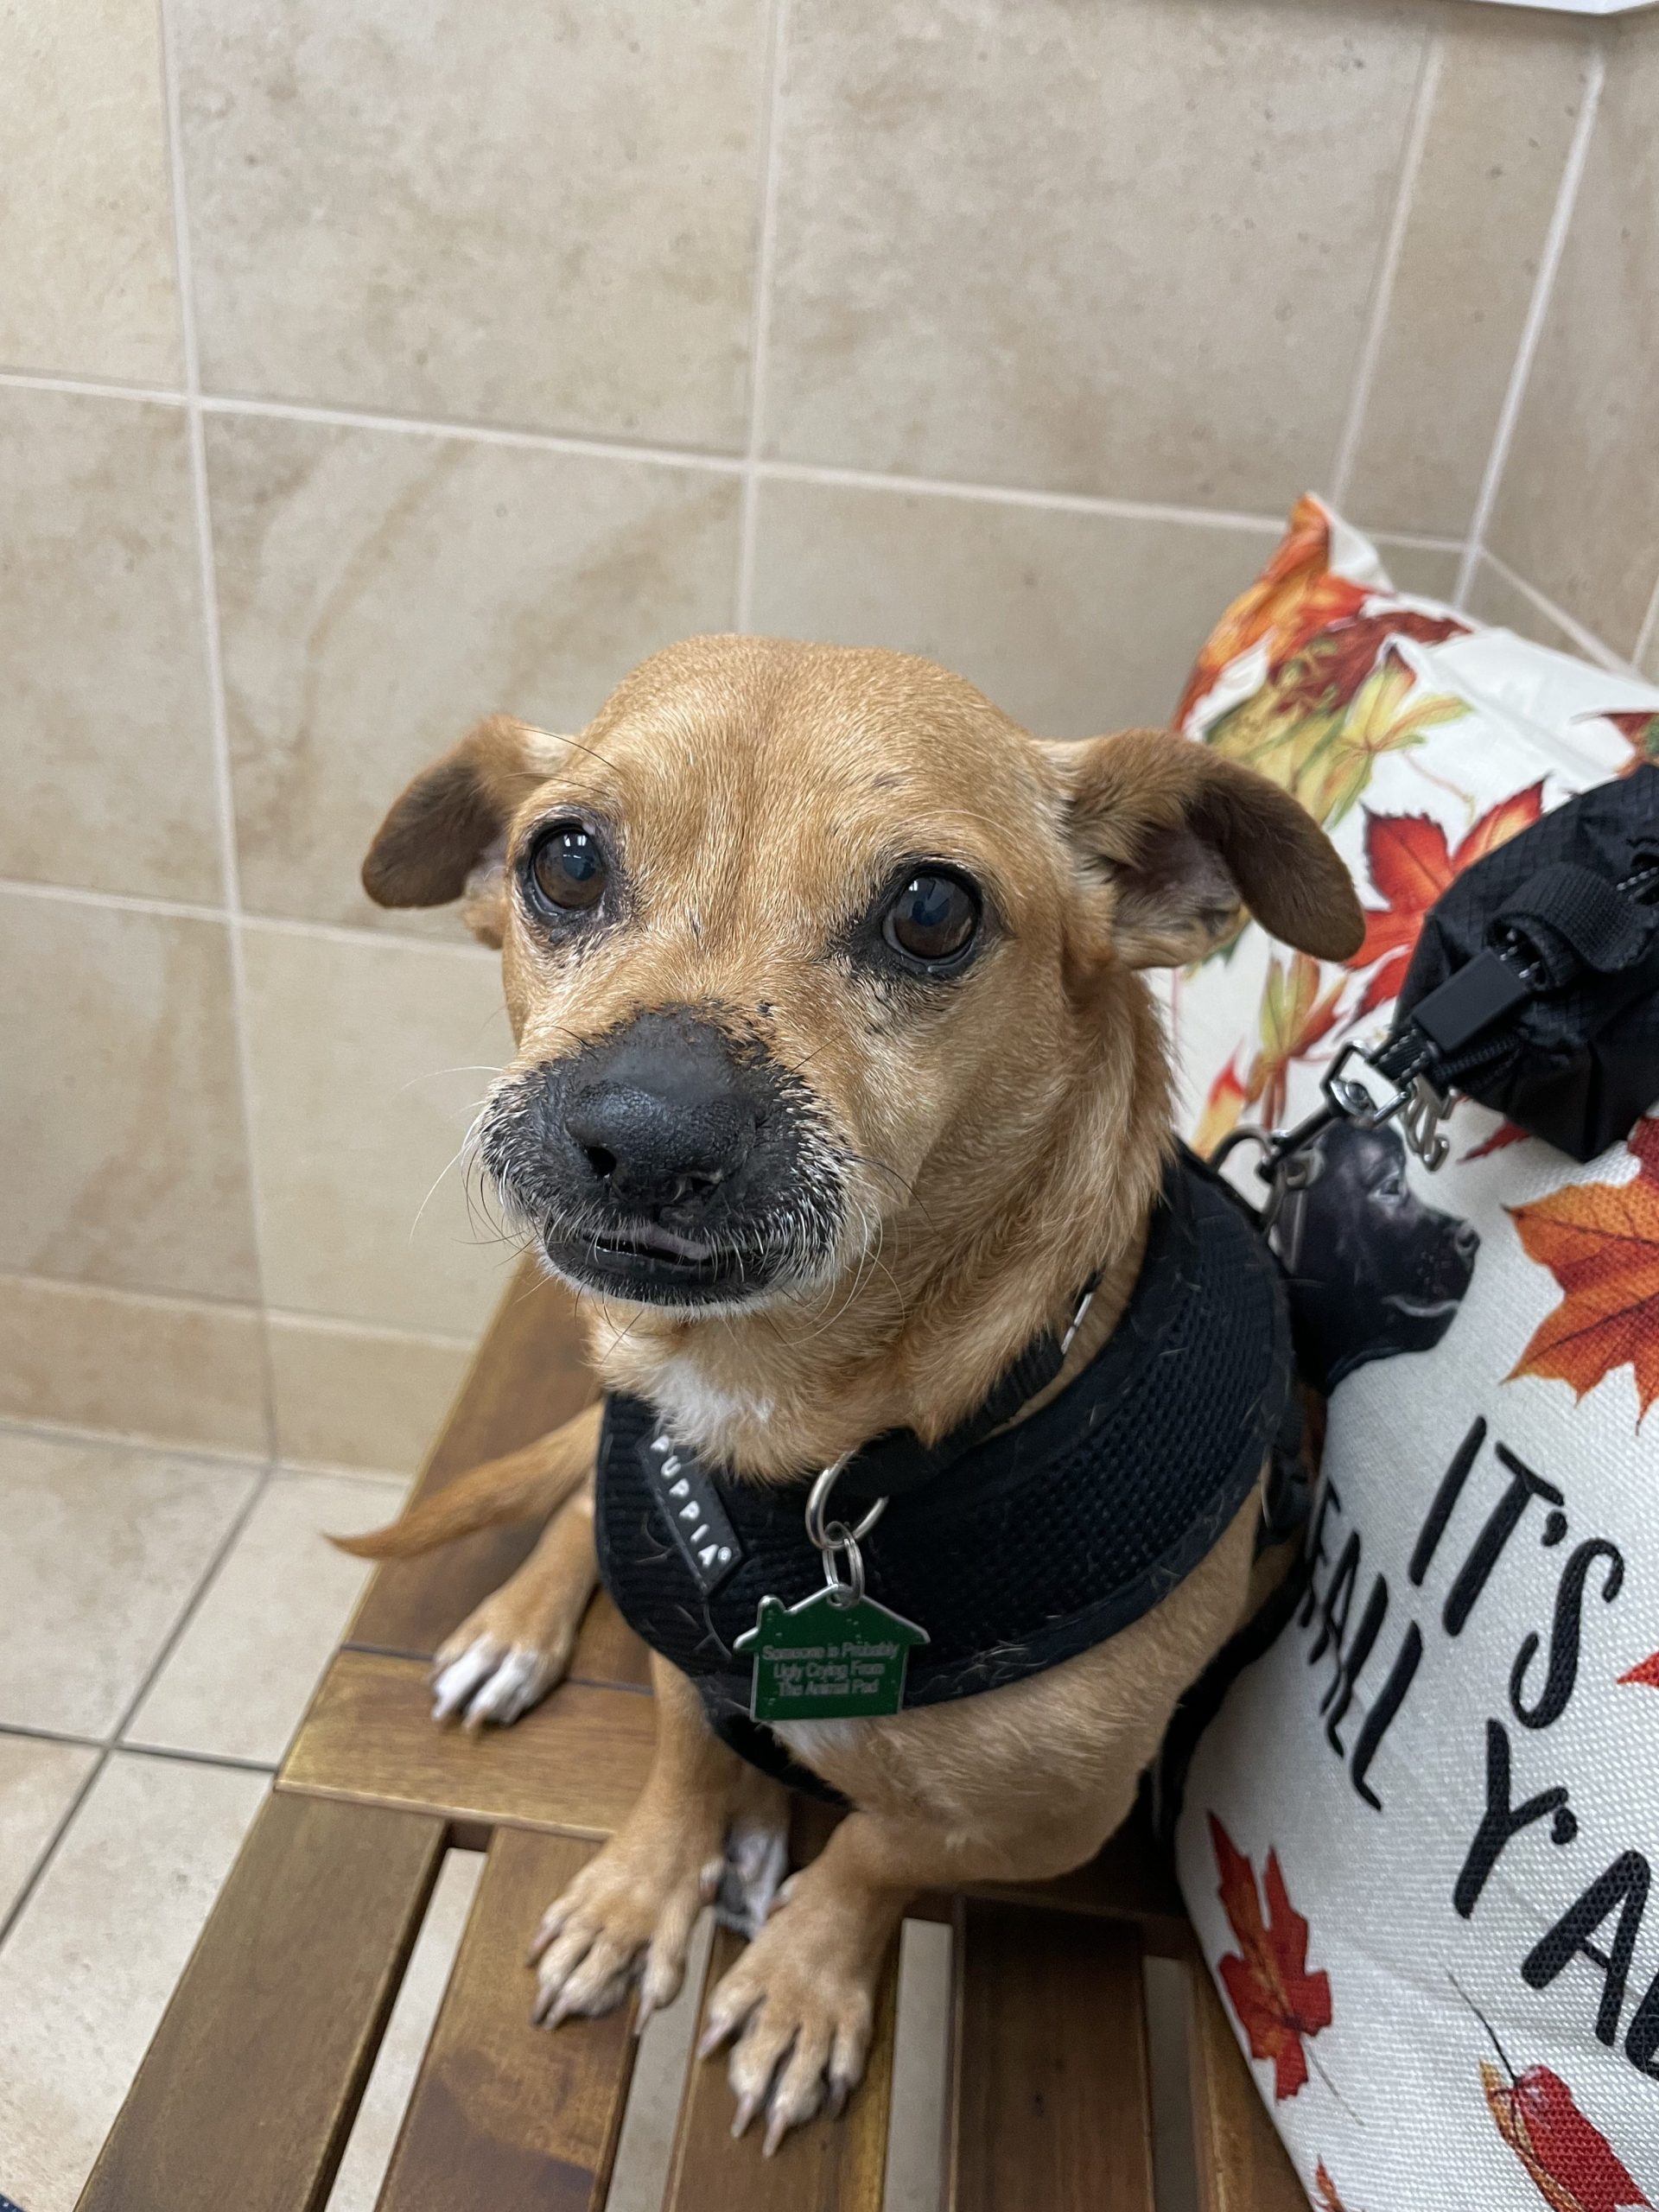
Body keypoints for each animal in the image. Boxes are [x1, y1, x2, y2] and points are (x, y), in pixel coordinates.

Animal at [353, 637, 1362, 2141]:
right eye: (567, 862)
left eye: (932, 912)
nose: (640, 1134)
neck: (807, 1448)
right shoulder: (678, 1630)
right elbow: (683, 1748)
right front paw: (646, 1886)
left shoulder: (1052, 1820)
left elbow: (885, 1850)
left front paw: (800, 1976)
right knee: (582, 1509)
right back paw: (524, 1633)